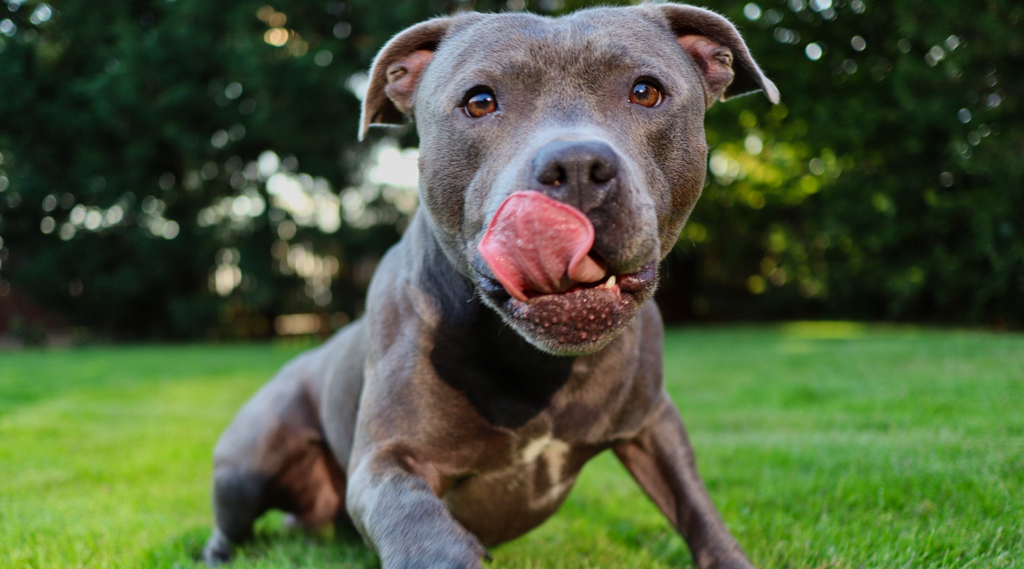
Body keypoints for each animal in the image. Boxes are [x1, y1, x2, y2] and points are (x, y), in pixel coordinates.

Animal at [201, 5, 774, 569]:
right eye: (479, 102)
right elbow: (421, 526)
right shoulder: (385, 460)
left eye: (645, 91)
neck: (541, 366)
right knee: (229, 525)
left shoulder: (653, 421)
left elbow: (693, 504)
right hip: (247, 466)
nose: (576, 166)